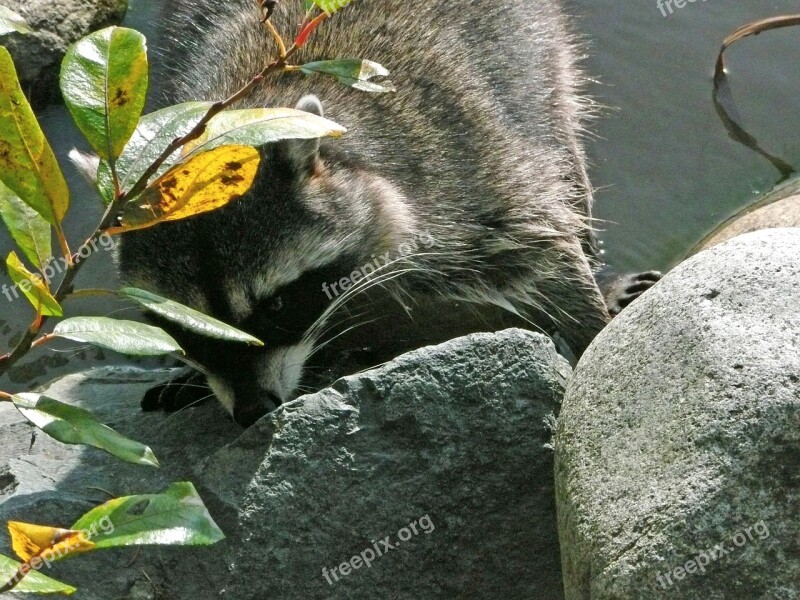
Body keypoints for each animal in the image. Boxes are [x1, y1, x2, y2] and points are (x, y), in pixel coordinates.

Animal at [119, 0, 656, 426]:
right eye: (183, 326)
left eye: (276, 306)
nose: (252, 411)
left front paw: (592, 330)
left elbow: (549, 253)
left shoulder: (469, 179)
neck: (252, 112)